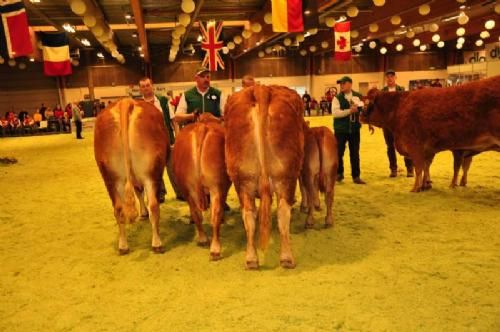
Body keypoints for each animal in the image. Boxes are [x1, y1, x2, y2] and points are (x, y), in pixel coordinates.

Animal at [94, 98, 169, 254]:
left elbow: (138, 191)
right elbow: (140, 192)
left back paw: (123, 245)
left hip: (110, 177)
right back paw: (157, 243)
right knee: (153, 206)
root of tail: (126, 101)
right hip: (151, 172)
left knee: (118, 208)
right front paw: (144, 213)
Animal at [364, 76, 500, 192]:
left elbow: (419, 167)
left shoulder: (415, 145)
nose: (360, 115)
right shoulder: (429, 149)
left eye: (368, 104)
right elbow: (426, 166)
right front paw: (426, 184)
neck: (400, 106)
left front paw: (416, 188)